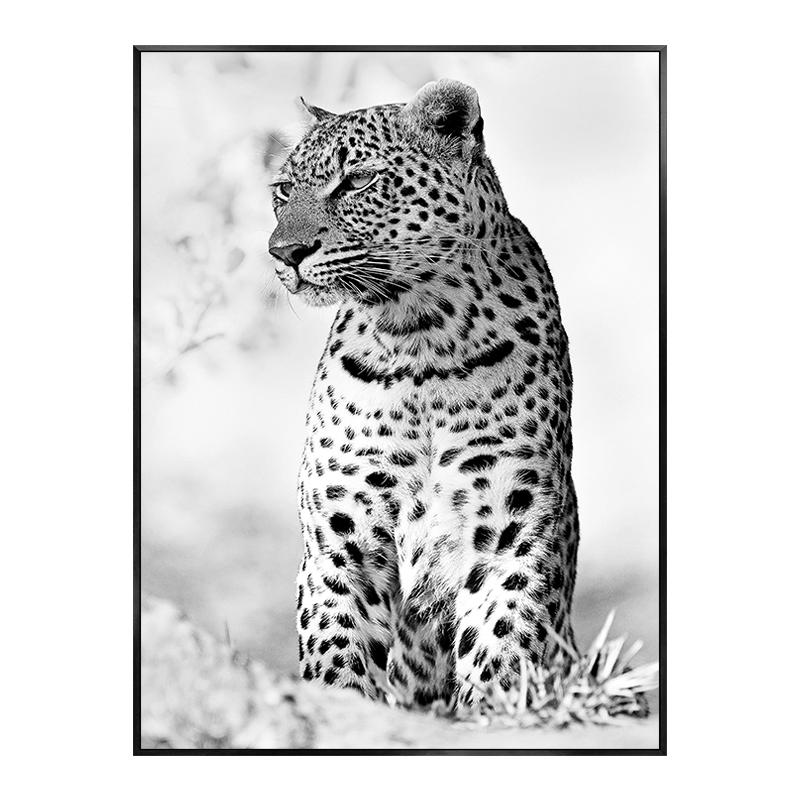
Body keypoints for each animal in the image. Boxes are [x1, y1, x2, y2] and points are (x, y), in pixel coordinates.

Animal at [267, 79, 579, 709]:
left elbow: (504, 639)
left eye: (358, 180)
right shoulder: (340, 536)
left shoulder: (514, 527)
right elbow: (337, 649)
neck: (421, 338)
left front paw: (494, 709)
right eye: (283, 191)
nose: (283, 252)